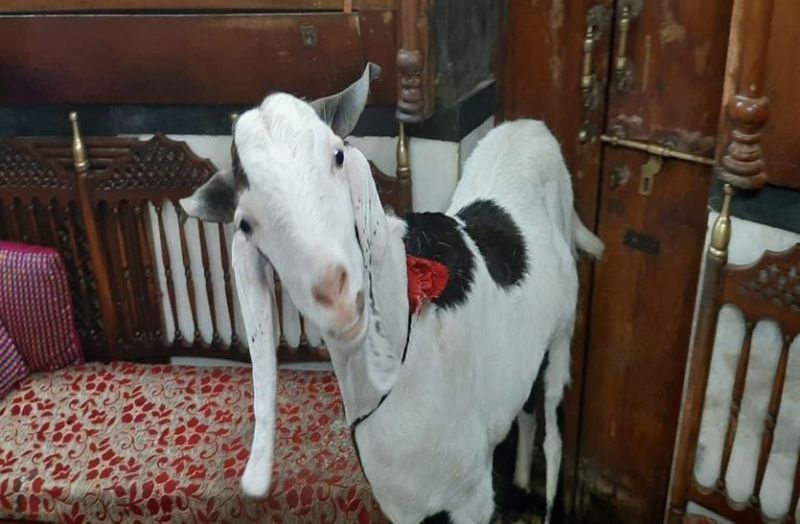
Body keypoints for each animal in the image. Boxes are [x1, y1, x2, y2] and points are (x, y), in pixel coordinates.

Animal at [180, 63, 604, 524]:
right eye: (245, 223)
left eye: (338, 155)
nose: (336, 297)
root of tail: (529, 127)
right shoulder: (399, 502)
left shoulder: (471, 497)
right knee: (525, 412)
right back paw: (524, 482)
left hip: (562, 332)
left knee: (553, 432)